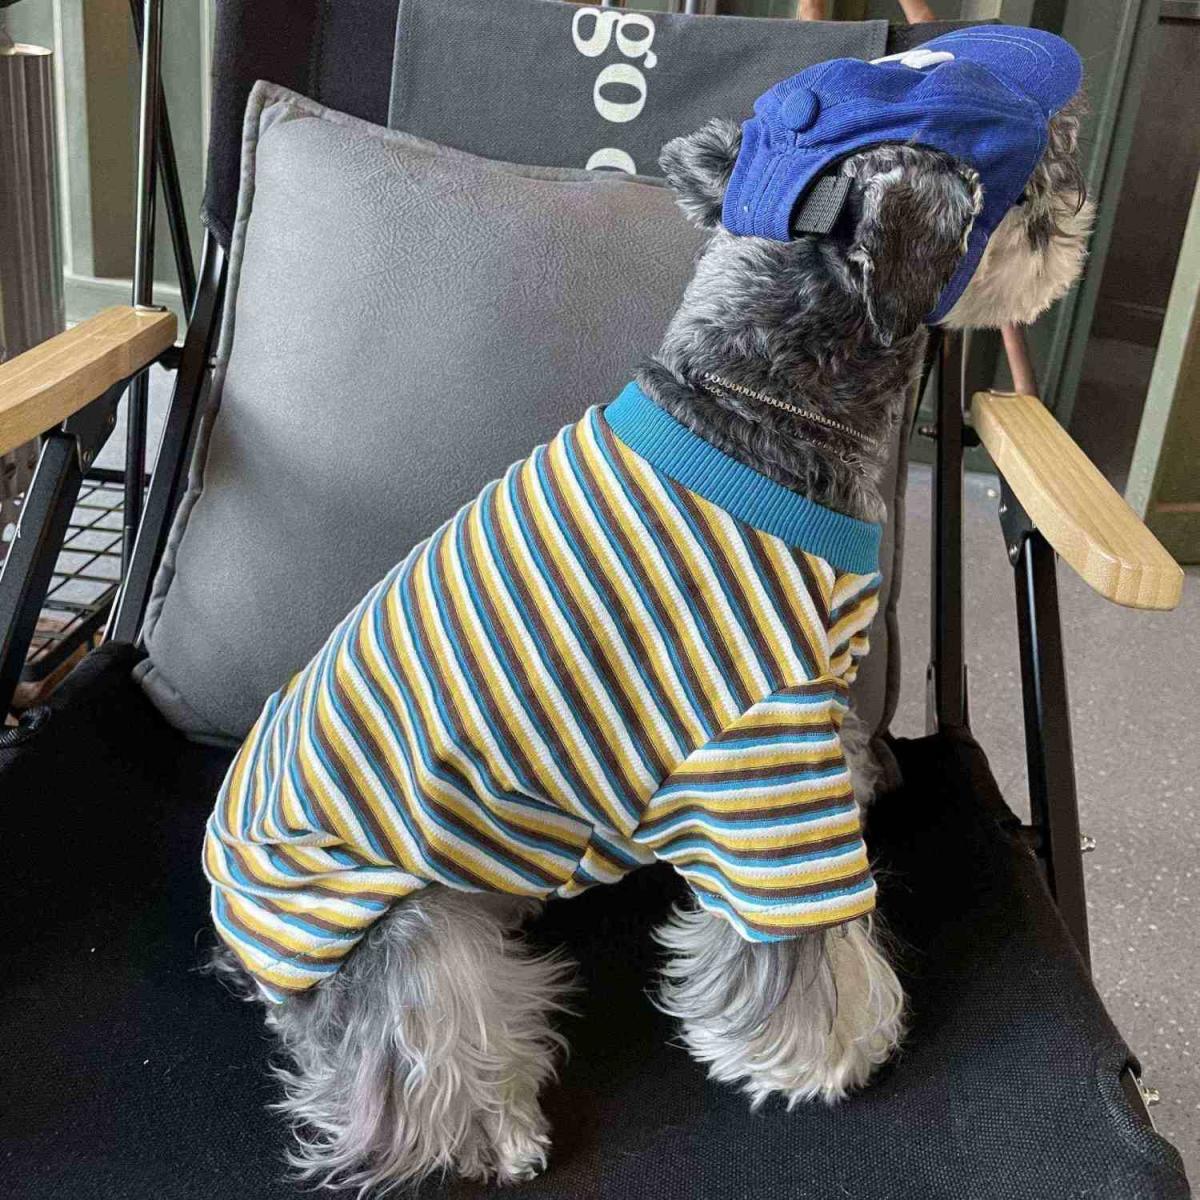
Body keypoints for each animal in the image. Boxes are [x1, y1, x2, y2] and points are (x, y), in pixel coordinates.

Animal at [207, 33, 1092, 1195]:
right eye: (1033, 172)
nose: (1078, 197)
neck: (760, 398)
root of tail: (230, 907)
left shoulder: (817, 698)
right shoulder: (760, 759)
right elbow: (806, 939)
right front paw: (831, 1052)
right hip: (388, 924)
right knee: (416, 1060)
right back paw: (494, 1129)